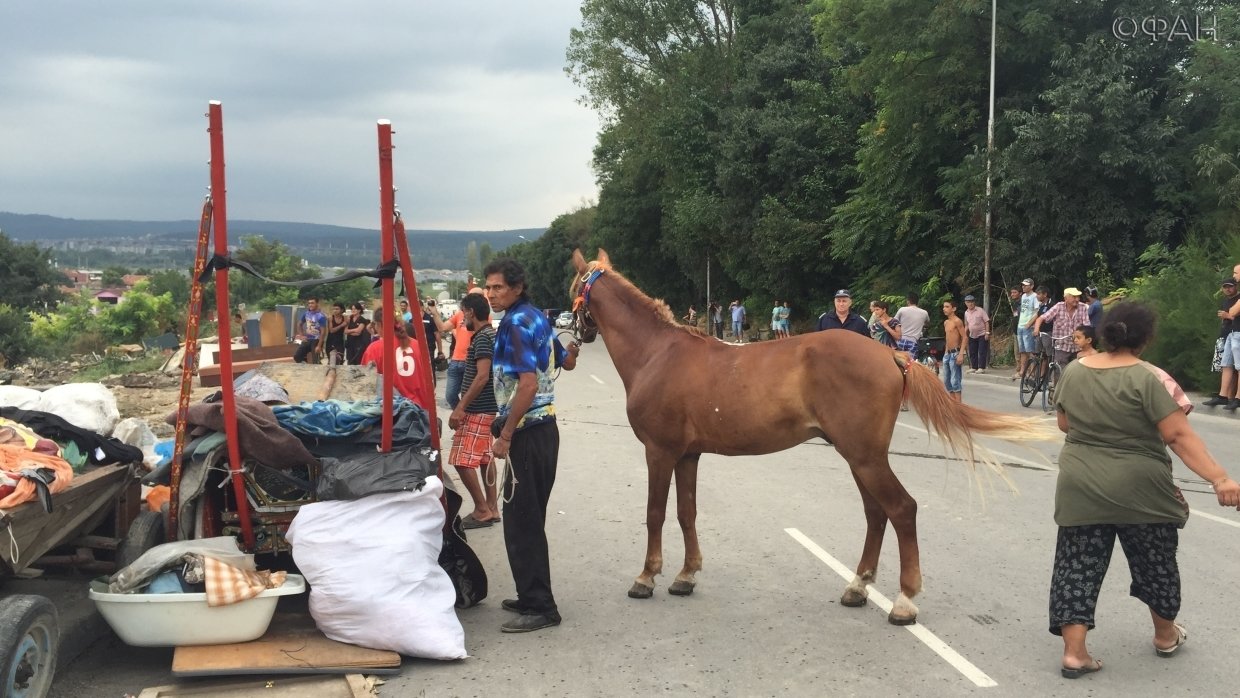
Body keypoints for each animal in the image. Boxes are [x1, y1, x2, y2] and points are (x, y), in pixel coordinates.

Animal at [567, 247, 1046, 624]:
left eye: (572, 284)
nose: (575, 332)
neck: (658, 353)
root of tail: (892, 355)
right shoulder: (687, 456)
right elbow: (687, 514)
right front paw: (686, 575)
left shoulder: (659, 452)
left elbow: (654, 514)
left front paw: (646, 577)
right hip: (860, 457)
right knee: (877, 514)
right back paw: (858, 587)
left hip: (865, 457)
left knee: (901, 509)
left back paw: (904, 602)